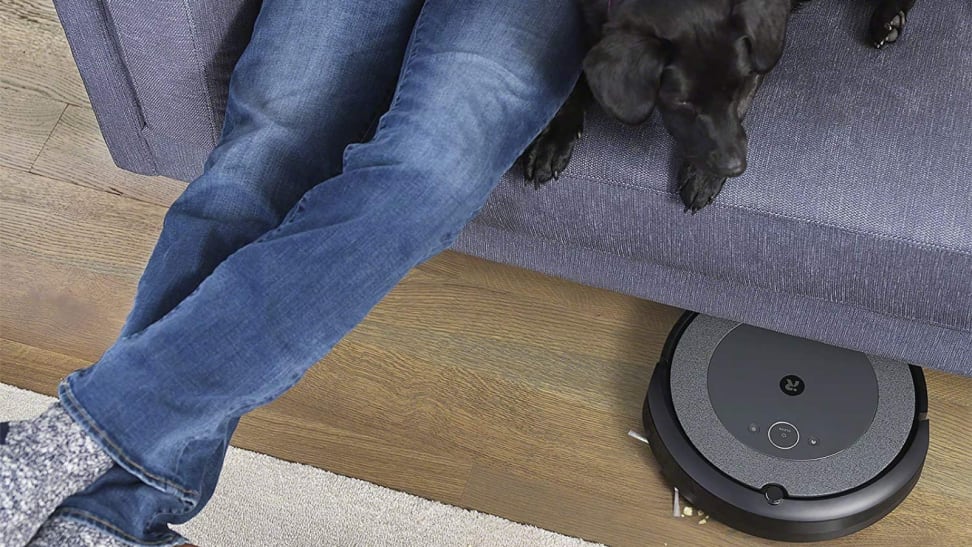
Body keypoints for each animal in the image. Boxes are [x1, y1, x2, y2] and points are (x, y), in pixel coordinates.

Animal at [524, 0, 920, 212]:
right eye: (682, 101)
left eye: (739, 86)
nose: (736, 169)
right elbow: (577, 81)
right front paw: (551, 140)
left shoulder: (761, 53)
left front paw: (703, 177)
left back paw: (888, 17)